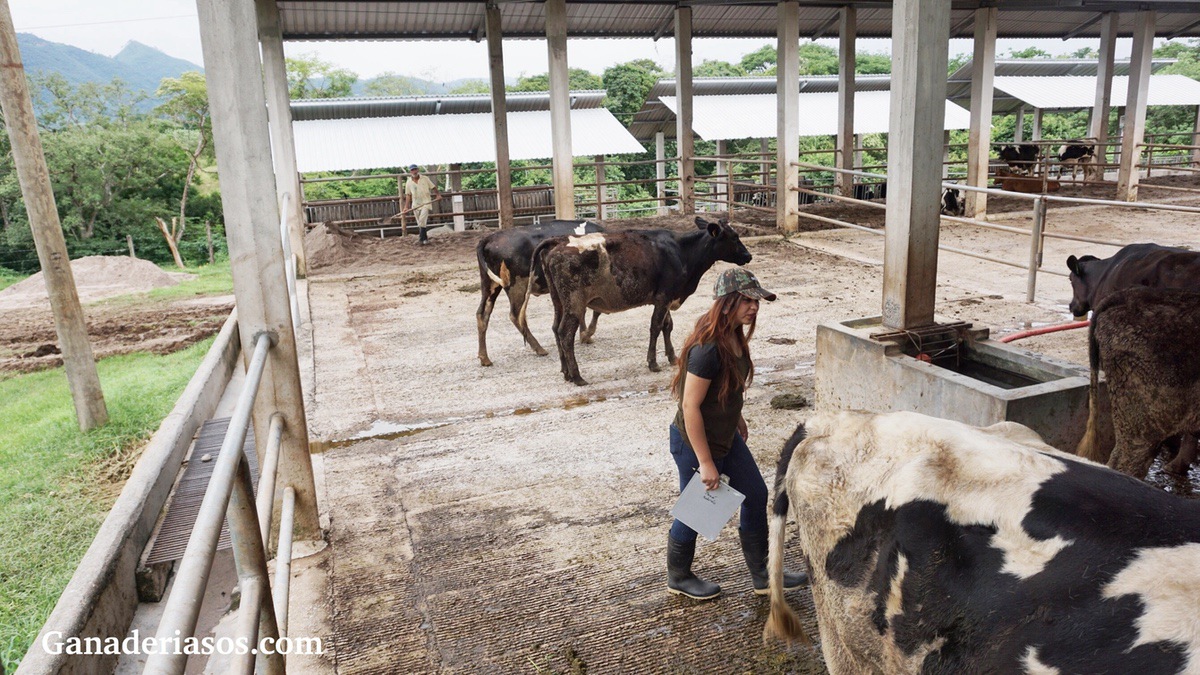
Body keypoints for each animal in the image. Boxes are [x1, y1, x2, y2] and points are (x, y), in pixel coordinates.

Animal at [475, 219, 604, 367]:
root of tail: (490, 237)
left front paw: (584, 335)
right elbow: (595, 310)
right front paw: (587, 334)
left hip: (490, 284)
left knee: (482, 314)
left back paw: (484, 358)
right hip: (517, 285)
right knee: (515, 315)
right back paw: (539, 348)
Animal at [525, 214, 748, 384]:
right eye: (734, 237)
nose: (748, 255)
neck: (682, 251)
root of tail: (559, 241)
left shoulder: (666, 298)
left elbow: (667, 326)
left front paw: (672, 357)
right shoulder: (664, 297)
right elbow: (656, 327)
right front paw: (653, 363)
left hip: (559, 302)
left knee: (555, 329)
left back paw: (566, 372)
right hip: (574, 303)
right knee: (565, 334)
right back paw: (577, 376)